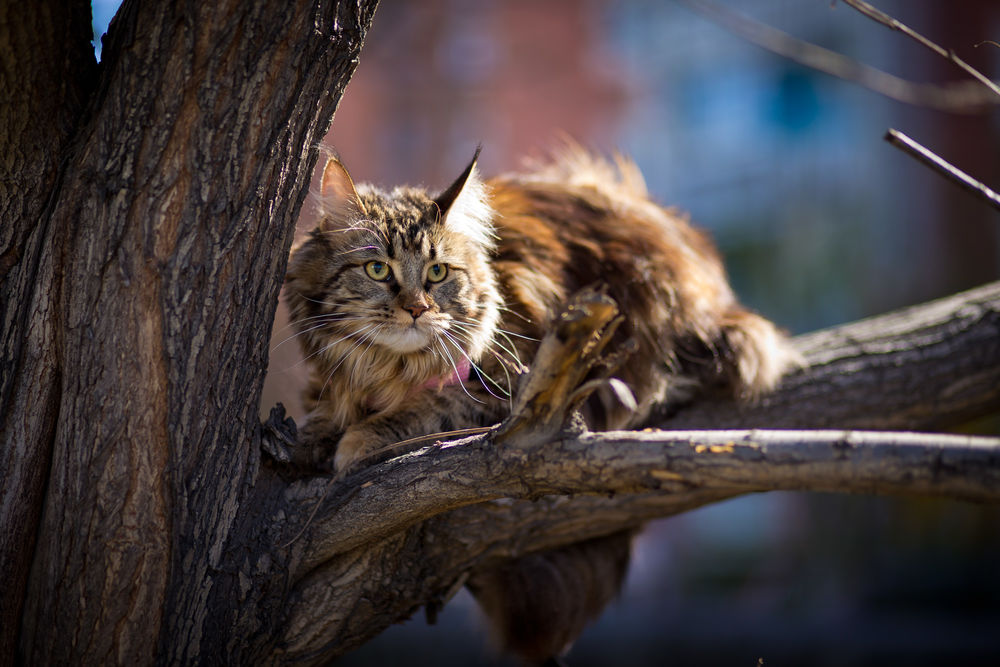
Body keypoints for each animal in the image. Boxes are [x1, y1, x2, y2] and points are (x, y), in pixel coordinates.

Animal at [282, 145, 796, 664]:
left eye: (437, 273)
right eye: (378, 270)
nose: (417, 309)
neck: (388, 366)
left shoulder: (508, 388)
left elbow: (421, 410)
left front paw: (357, 440)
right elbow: (323, 410)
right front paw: (308, 440)